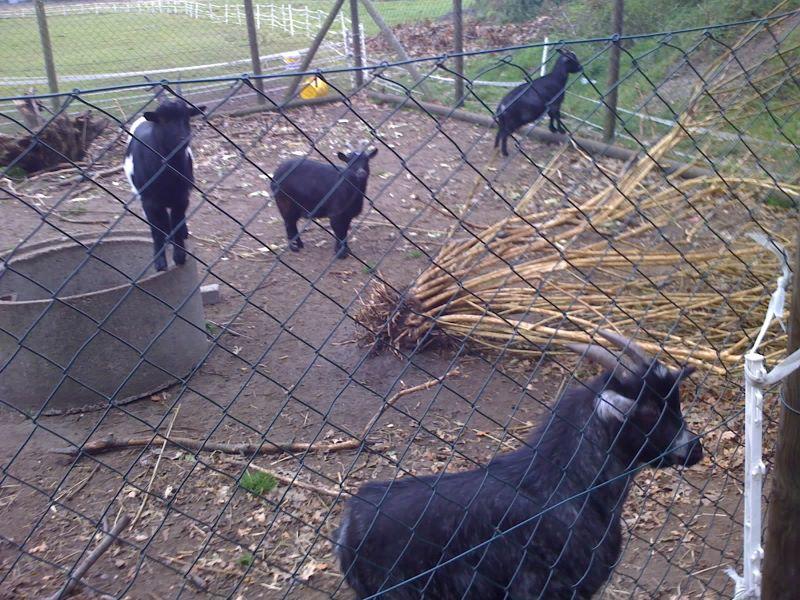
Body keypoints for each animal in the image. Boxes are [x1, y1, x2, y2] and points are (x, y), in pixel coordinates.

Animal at [122, 100, 205, 272]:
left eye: (187, 118)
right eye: (164, 121)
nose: (183, 139)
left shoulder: (181, 198)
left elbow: (176, 223)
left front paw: (179, 256)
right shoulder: (149, 201)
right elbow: (156, 231)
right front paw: (160, 262)